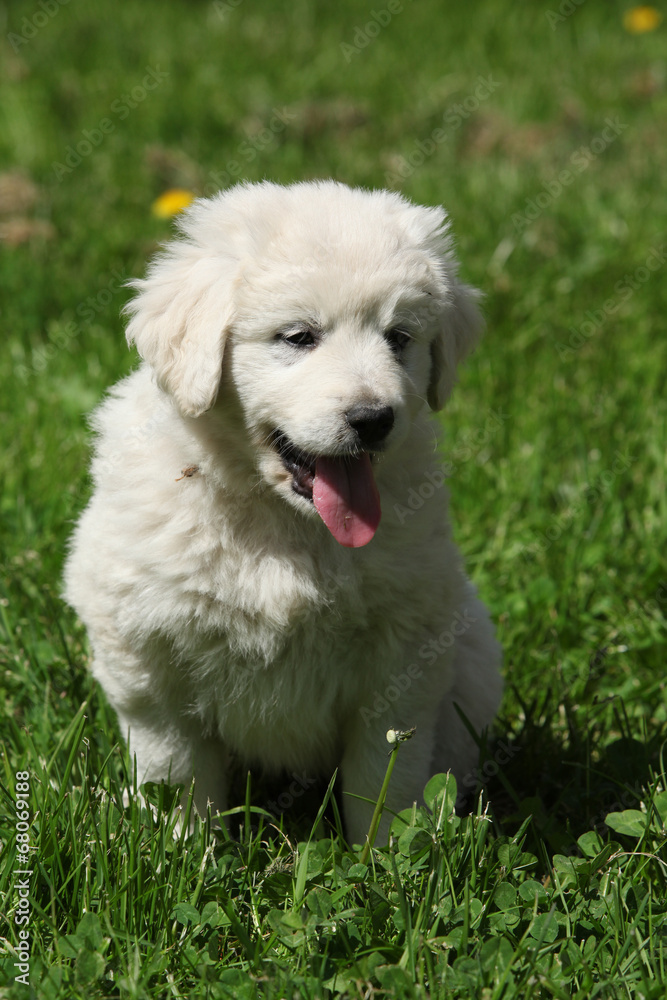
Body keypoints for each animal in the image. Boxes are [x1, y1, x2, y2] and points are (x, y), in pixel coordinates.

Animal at [64, 180, 500, 844]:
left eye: (399, 337)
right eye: (298, 337)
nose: (374, 419)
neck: (282, 521)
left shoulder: (405, 647)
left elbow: (384, 770)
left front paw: (386, 857)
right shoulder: (143, 645)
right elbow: (176, 765)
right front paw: (183, 849)